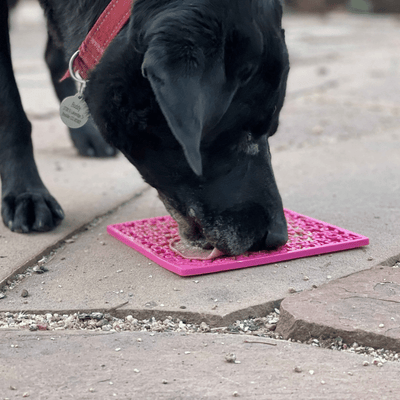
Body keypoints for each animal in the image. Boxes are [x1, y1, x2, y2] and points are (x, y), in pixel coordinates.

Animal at [0, 0, 288, 256]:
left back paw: (87, 136)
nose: (278, 236)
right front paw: (26, 193)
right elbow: (11, 114)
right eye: (242, 132)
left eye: (271, 129)